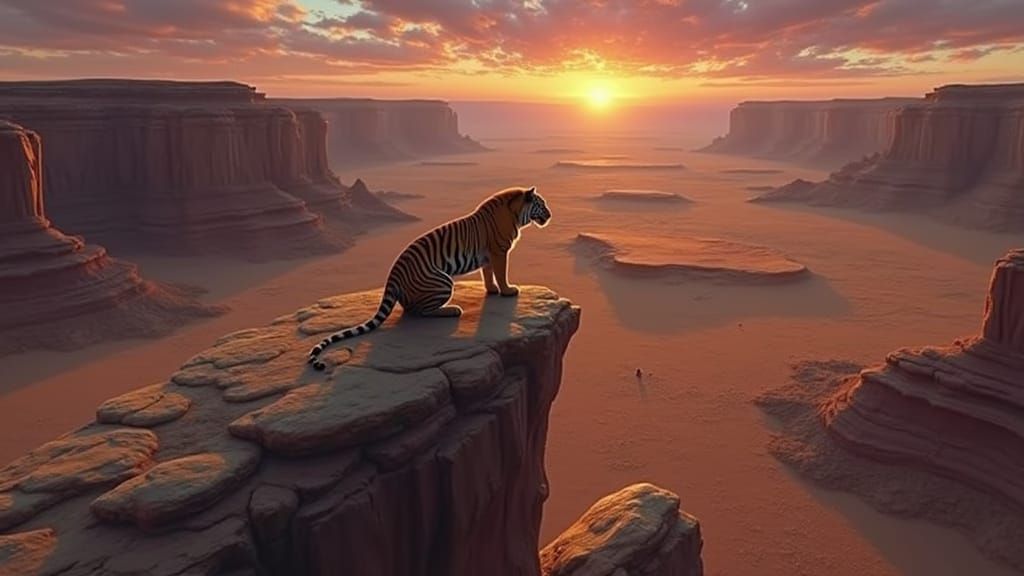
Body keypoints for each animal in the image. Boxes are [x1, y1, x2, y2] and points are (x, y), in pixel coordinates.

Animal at [308, 186, 551, 371]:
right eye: (542, 204)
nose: (550, 216)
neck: (516, 214)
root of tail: (393, 273)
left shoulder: (489, 255)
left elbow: (489, 274)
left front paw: (492, 290)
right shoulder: (499, 251)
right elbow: (500, 273)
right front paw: (508, 290)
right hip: (443, 281)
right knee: (418, 311)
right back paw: (453, 310)